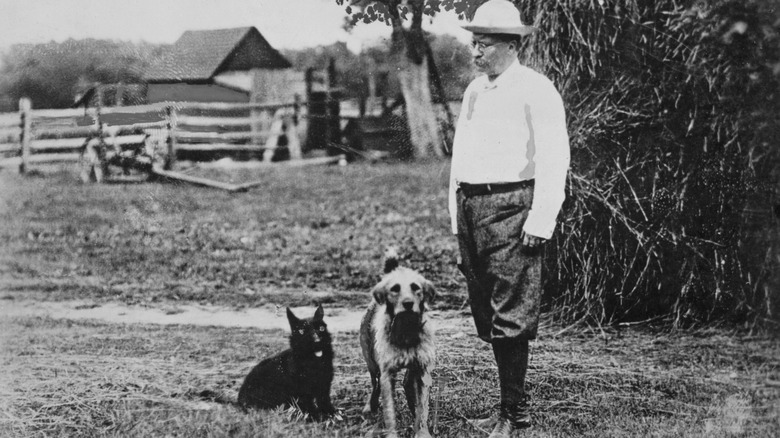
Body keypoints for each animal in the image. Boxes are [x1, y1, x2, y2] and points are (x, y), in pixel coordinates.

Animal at [358, 250, 436, 438]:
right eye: (395, 288)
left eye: (415, 287)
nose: (408, 304)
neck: (406, 330)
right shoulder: (387, 374)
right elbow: (390, 411)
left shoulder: (423, 370)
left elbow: (422, 408)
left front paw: (421, 431)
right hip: (371, 361)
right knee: (375, 383)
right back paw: (369, 406)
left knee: (407, 383)